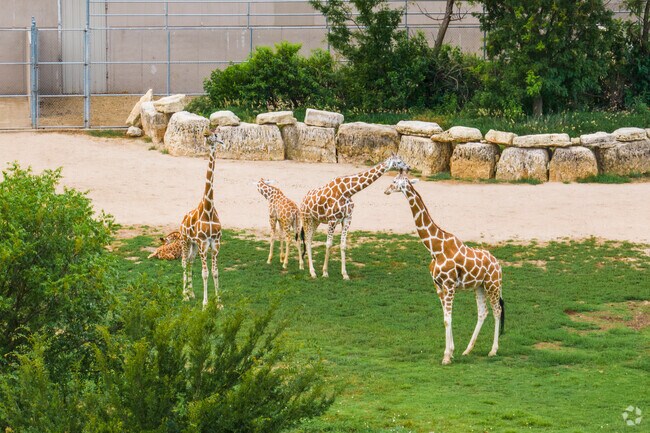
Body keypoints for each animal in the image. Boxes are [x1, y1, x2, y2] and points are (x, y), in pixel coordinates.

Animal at [384, 171, 504, 365]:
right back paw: (468, 349)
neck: (435, 248)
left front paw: (447, 356)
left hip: (492, 285)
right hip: (479, 286)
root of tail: (499, 265)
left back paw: (493, 350)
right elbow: (445, 318)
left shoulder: (449, 285)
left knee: (497, 311)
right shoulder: (438, 286)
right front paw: (452, 351)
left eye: (395, 181)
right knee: (482, 312)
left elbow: (448, 318)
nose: (386, 190)